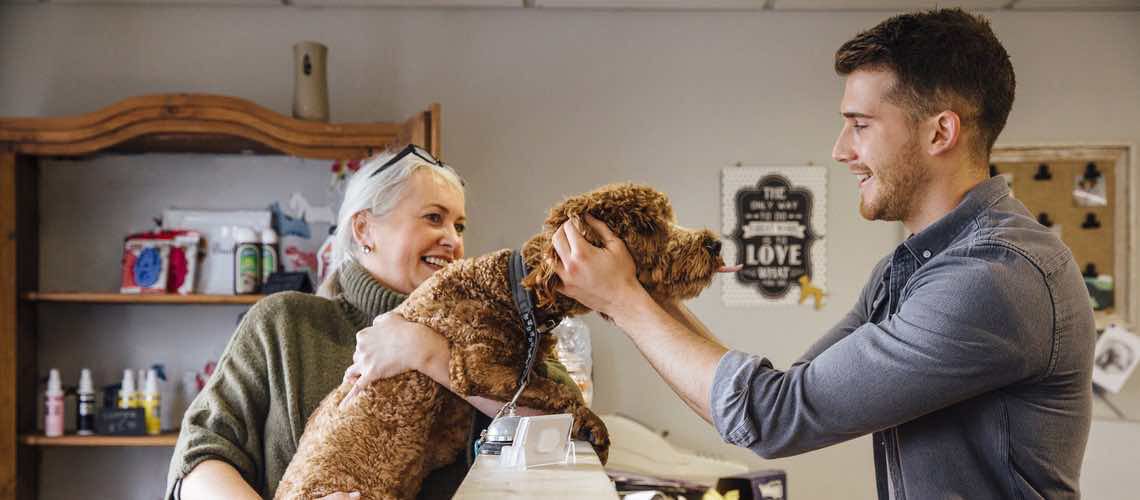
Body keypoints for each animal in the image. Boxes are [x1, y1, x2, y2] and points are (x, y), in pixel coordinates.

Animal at [271, 184, 725, 500]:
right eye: (647, 226)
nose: (715, 242)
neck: (513, 290)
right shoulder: (476, 366)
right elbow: (562, 392)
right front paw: (594, 426)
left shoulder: (526, 365)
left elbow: (551, 386)